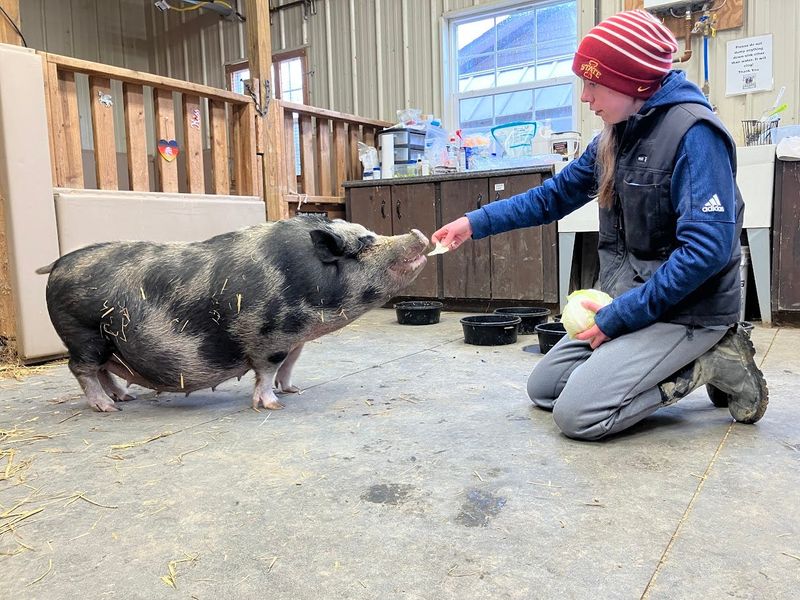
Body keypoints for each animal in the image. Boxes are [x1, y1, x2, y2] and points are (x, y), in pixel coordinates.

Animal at [37, 215, 429, 412]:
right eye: (364, 244)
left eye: (370, 233)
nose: (418, 233)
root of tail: (58, 264)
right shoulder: (270, 337)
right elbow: (268, 371)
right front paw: (273, 406)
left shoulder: (295, 340)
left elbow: (289, 366)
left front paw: (294, 390)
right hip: (82, 333)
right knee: (82, 369)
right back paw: (108, 408)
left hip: (104, 340)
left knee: (104, 371)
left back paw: (124, 399)